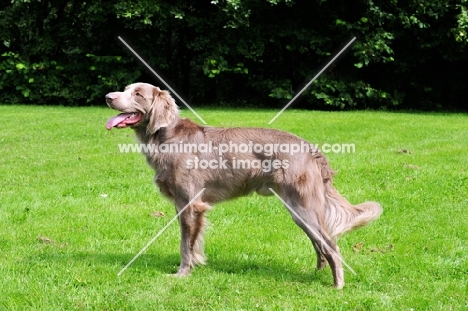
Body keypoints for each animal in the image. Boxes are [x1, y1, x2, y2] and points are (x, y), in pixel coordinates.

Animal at [105, 83, 380, 290]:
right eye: (125, 89)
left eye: (138, 94)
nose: (108, 97)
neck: (165, 137)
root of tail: (310, 148)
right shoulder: (183, 205)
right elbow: (193, 243)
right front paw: (195, 264)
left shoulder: (190, 204)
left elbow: (185, 245)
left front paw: (182, 274)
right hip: (299, 210)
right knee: (321, 243)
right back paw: (318, 272)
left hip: (304, 208)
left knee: (331, 245)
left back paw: (337, 285)